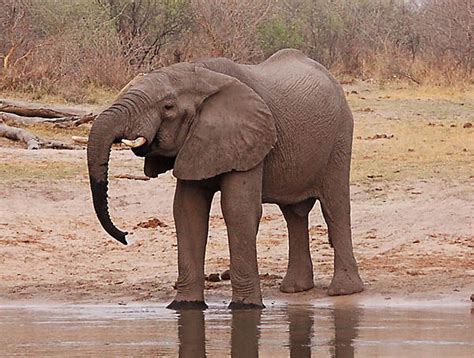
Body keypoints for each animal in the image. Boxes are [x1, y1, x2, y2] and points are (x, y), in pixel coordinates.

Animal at [87, 49, 364, 310]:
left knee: (335, 207)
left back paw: (343, 291)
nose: (125, 235)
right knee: (294, 213)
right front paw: (184, 306)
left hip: (340, 137)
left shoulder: (248, 137)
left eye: (168, 107)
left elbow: (238, 209)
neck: (199, 75)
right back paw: (295, 289)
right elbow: (187, 211)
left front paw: (245, 308)